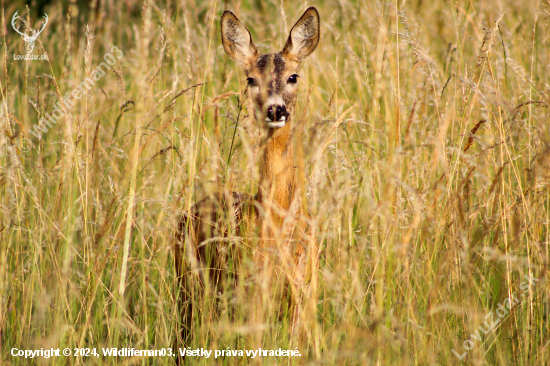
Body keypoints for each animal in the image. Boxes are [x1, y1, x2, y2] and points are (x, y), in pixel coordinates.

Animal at [177, 5, 322, 348]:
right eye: (251, 79)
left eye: (293, 76)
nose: (275, 109)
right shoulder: (252, 293)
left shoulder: (306, 290)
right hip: (188, 285)